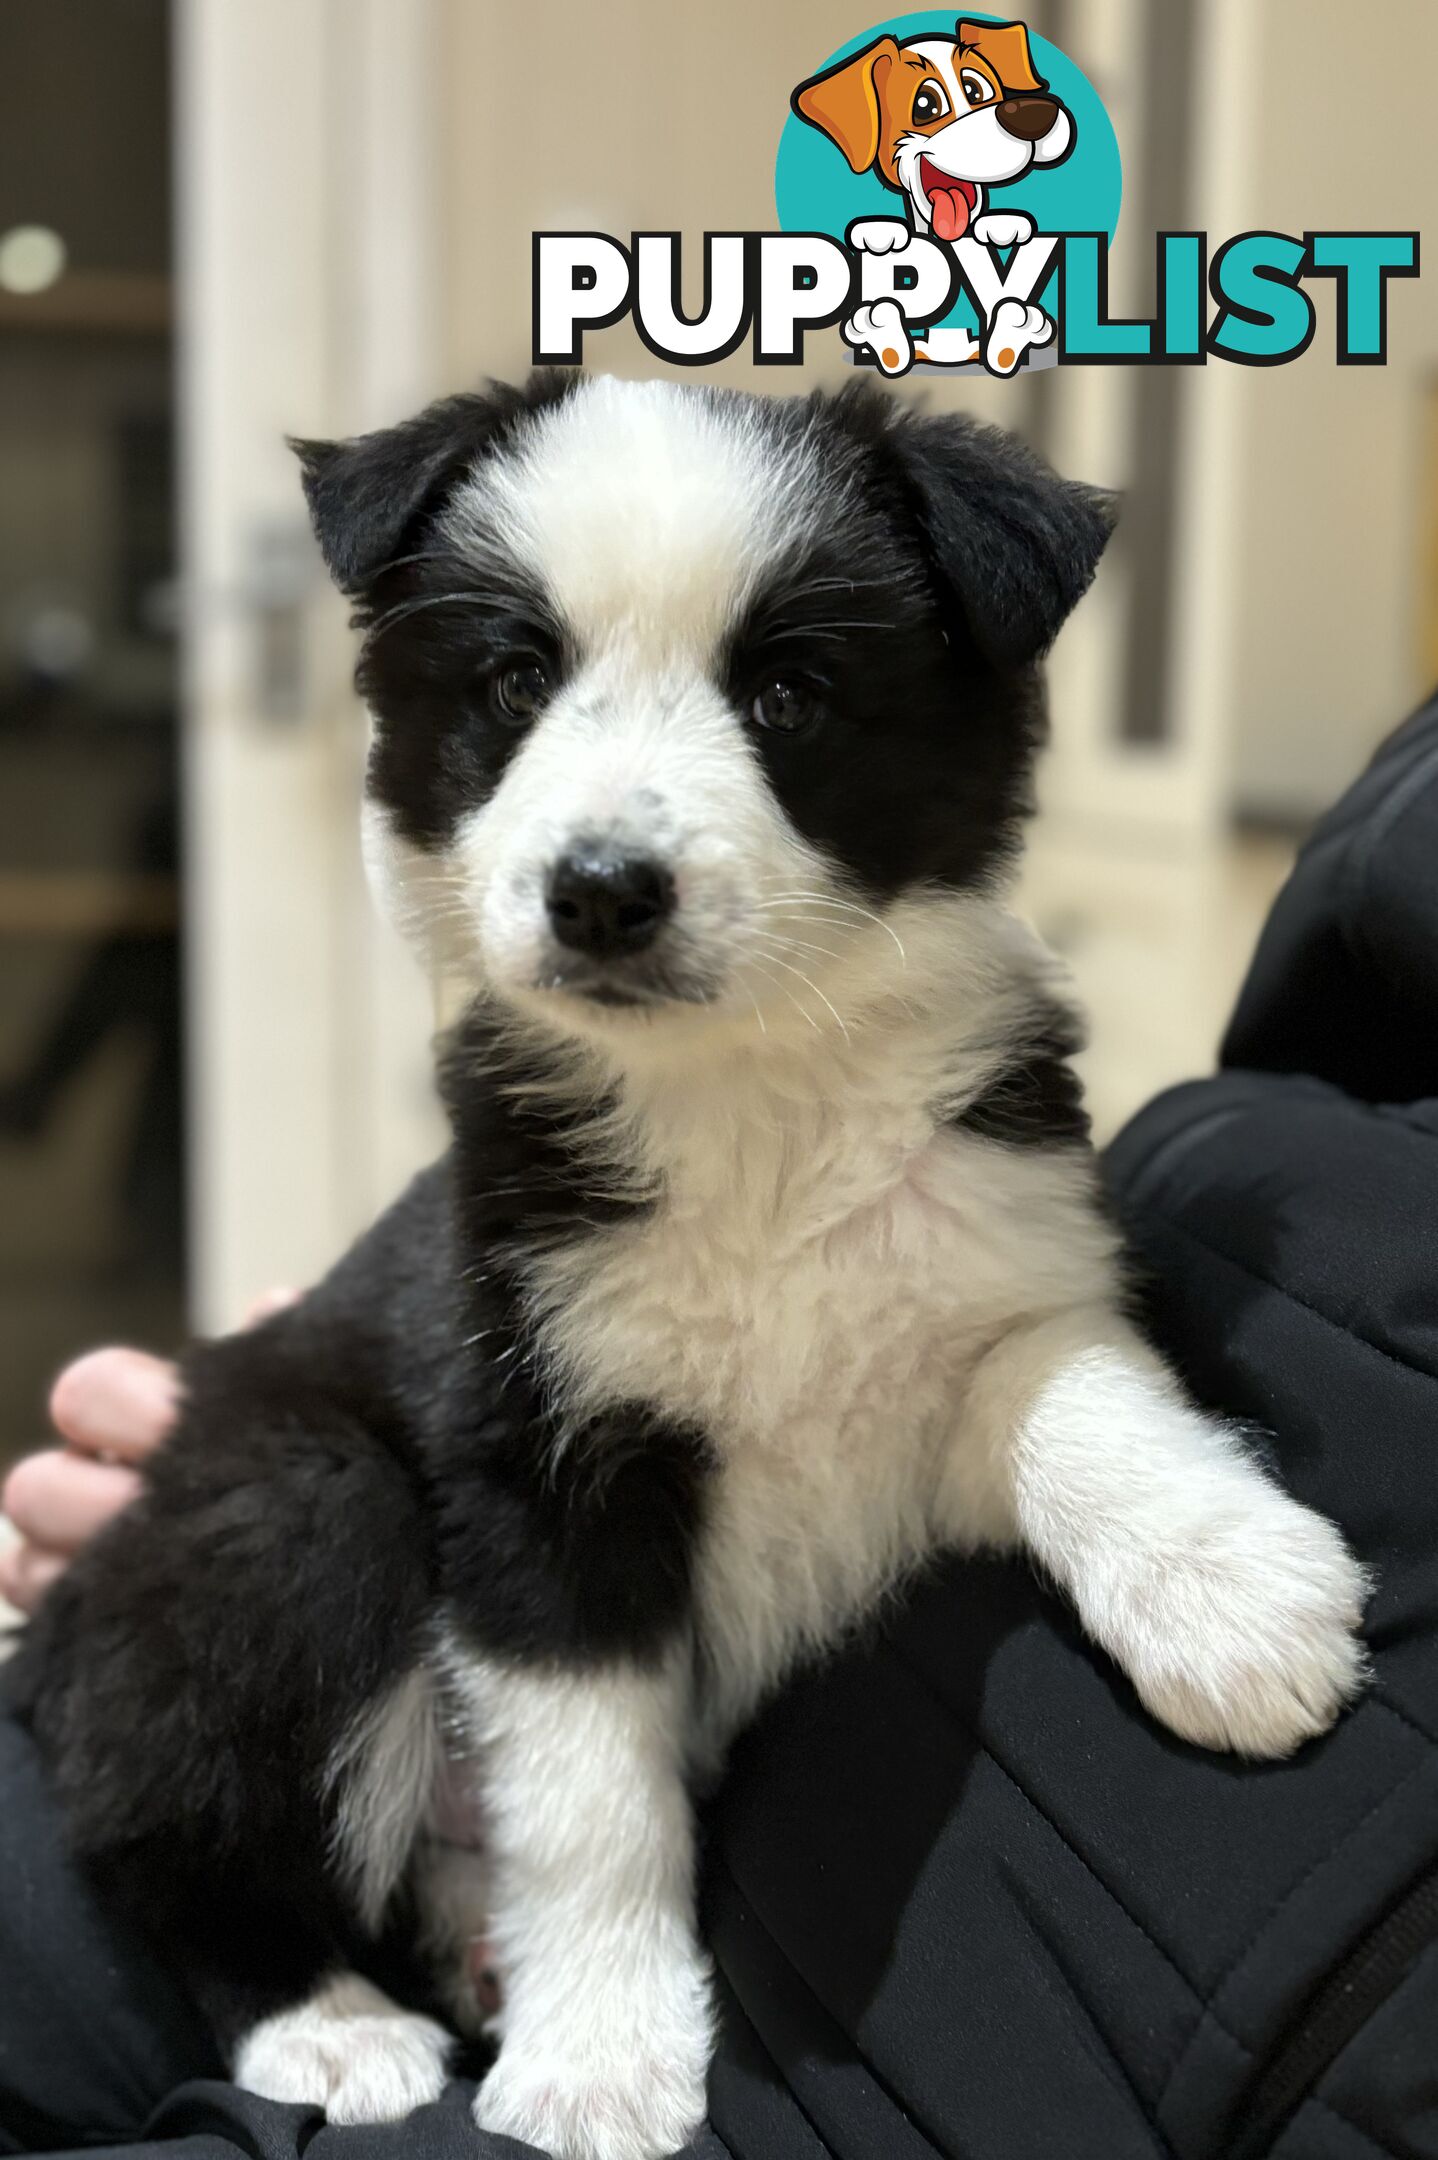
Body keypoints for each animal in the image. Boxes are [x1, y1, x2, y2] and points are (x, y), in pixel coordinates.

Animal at [14, 375, 1364, 2160]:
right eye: (516, 682)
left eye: (787, 694)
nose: (600, 892)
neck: (745, 1098)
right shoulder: (529, 1460)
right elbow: (593, 1795)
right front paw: (597, 2062)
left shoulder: (983, 1257)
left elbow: (1075, 1394)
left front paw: (1231, 1598)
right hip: (283, 1506)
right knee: (158, 1830)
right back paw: (327, 2028)